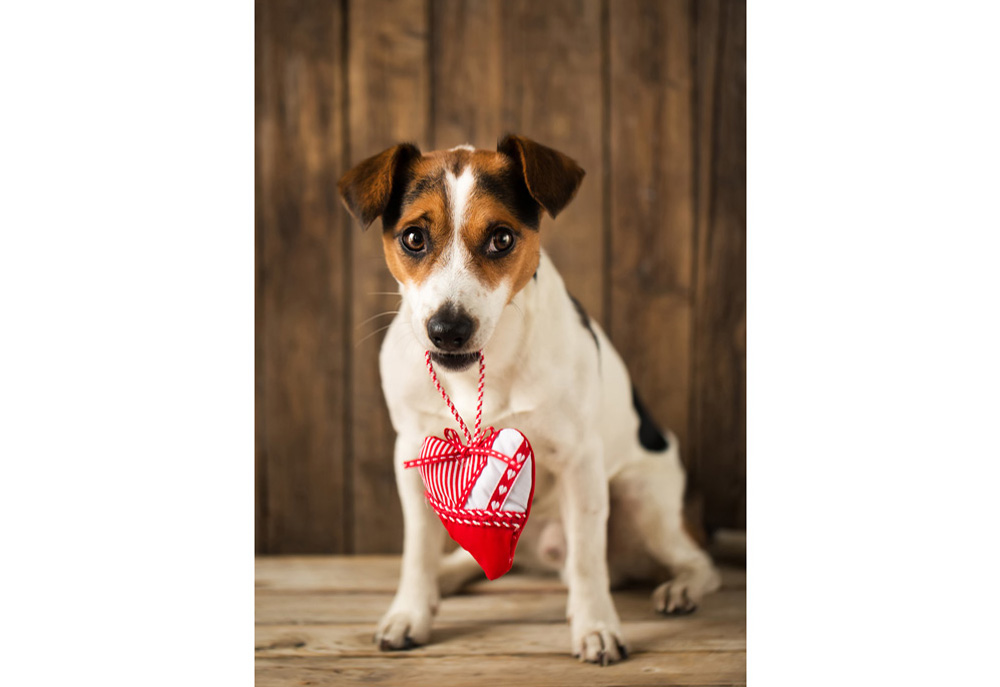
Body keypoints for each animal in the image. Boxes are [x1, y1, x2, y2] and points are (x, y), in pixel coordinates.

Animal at [338, 136, 720, 668]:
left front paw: (596, 626)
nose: (448, 329)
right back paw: (447, 576)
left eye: (501, 239)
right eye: (413, 238)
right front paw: (411, 611)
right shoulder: (412, 454)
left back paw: (681, 588)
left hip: (642, 499)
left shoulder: (581, 462)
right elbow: (417, 549)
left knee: (697, 562)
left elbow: (588, 559)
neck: (481, 369)